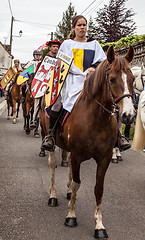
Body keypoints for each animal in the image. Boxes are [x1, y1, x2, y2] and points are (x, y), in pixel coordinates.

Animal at [46, 46, 135, 239]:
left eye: (132, 79)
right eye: (112, 79)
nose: (129, 116)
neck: (96, 120)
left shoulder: (104, 158)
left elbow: (98, 188)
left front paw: (99, 225)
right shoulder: (78, 155)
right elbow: (77, 182)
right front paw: (71, 216)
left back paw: (68, 193)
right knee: (53, 165)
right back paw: (53, 196)